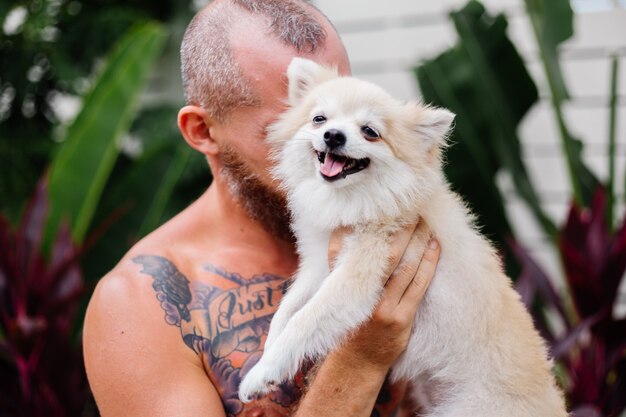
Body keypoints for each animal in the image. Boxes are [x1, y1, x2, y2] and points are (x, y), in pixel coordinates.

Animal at [238, 56, 564, 416]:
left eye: (370, 132)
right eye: (319, 119)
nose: (333, 135)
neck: (351, 200)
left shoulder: (358, 274)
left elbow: (305, 319)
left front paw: (263, 372)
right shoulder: (318, 267)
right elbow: (285, 311)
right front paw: (268, 355)